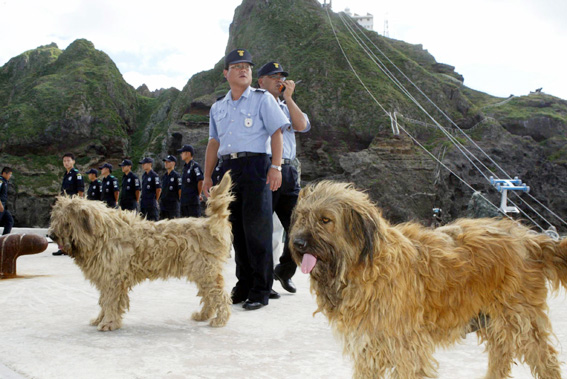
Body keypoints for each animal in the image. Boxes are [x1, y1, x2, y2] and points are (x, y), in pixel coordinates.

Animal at [48, 174, 234, 332]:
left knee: (220, 295)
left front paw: (108, 323)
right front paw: (100, 319)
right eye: (56, 219)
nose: (51, 235)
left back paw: (220, 320)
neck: (102, 234)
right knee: (209, 296)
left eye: (66, 223)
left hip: (206, 272)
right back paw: (203, 315)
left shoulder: (113, 278)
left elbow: (110, 301)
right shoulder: (106, 277)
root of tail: (208, 225)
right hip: (201, 272)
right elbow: (104, 301)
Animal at [290, 182, 567, 379]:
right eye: (302, 217)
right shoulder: (369, 345)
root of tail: (530, 239)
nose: (298, 243)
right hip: (492, 318)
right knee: (501, 355)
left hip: (520, 317)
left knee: (546, 359)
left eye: (325, 220)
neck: (366, 266)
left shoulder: (404, 345)